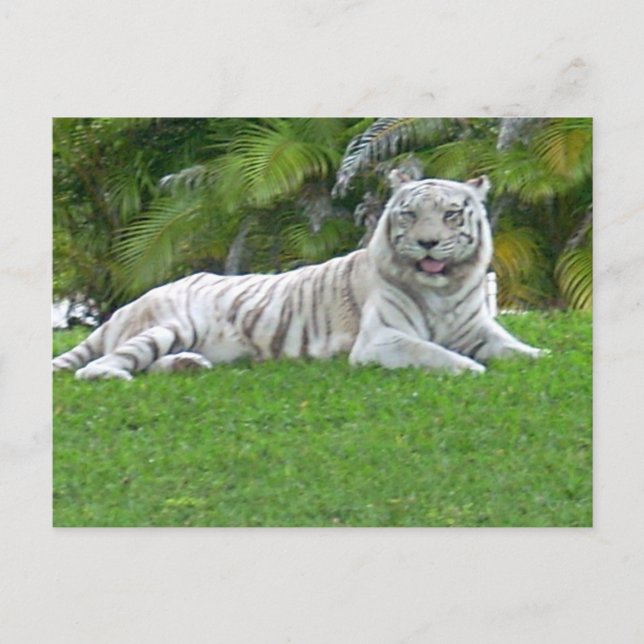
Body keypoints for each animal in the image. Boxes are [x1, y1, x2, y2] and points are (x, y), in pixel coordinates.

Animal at [52, 172, 545, 381]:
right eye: (410, 214)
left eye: (449, 215)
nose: (426, 243)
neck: (443, 289)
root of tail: (123, 309)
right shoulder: (381, 340)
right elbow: (433, 353)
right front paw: (471, 368)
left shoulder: (480, 328)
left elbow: (518, 350)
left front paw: (541, 355)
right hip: (171, 324)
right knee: (102, 365)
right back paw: (113, 376)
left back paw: (190, 365)